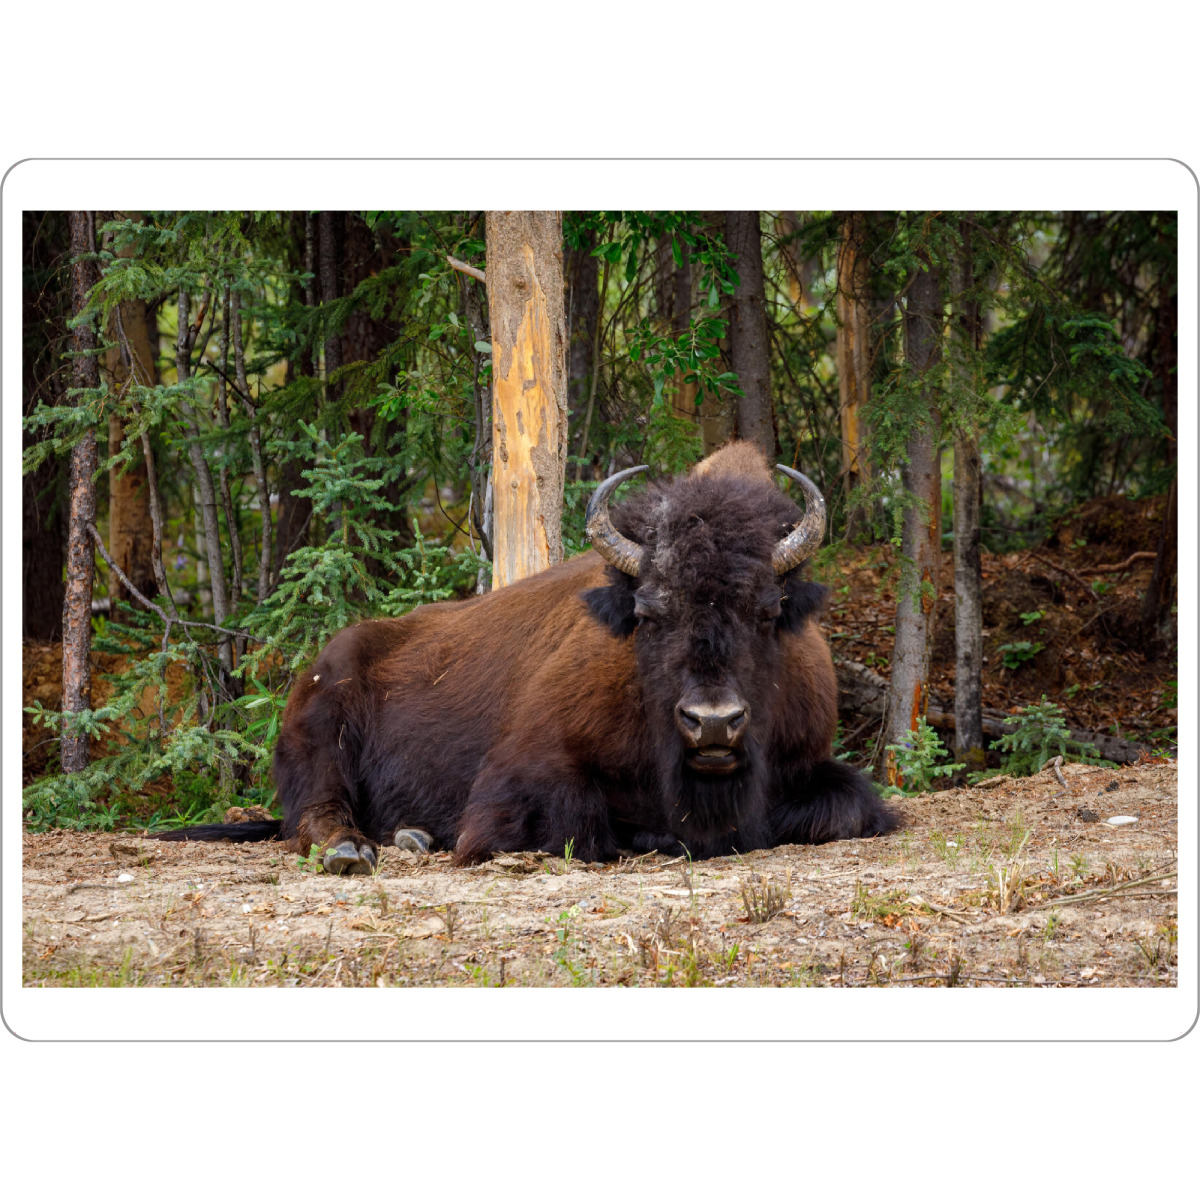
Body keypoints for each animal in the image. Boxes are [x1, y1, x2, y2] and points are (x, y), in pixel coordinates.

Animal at [158, 441, 897, 871]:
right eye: (650, 613)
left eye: (768, 611)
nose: (712, 723)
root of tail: (325, 661)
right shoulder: (520, 777)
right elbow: (579, 825)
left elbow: (848, 808)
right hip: (321, 735)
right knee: (314, 811)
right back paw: (356, 849)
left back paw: (410, 837)